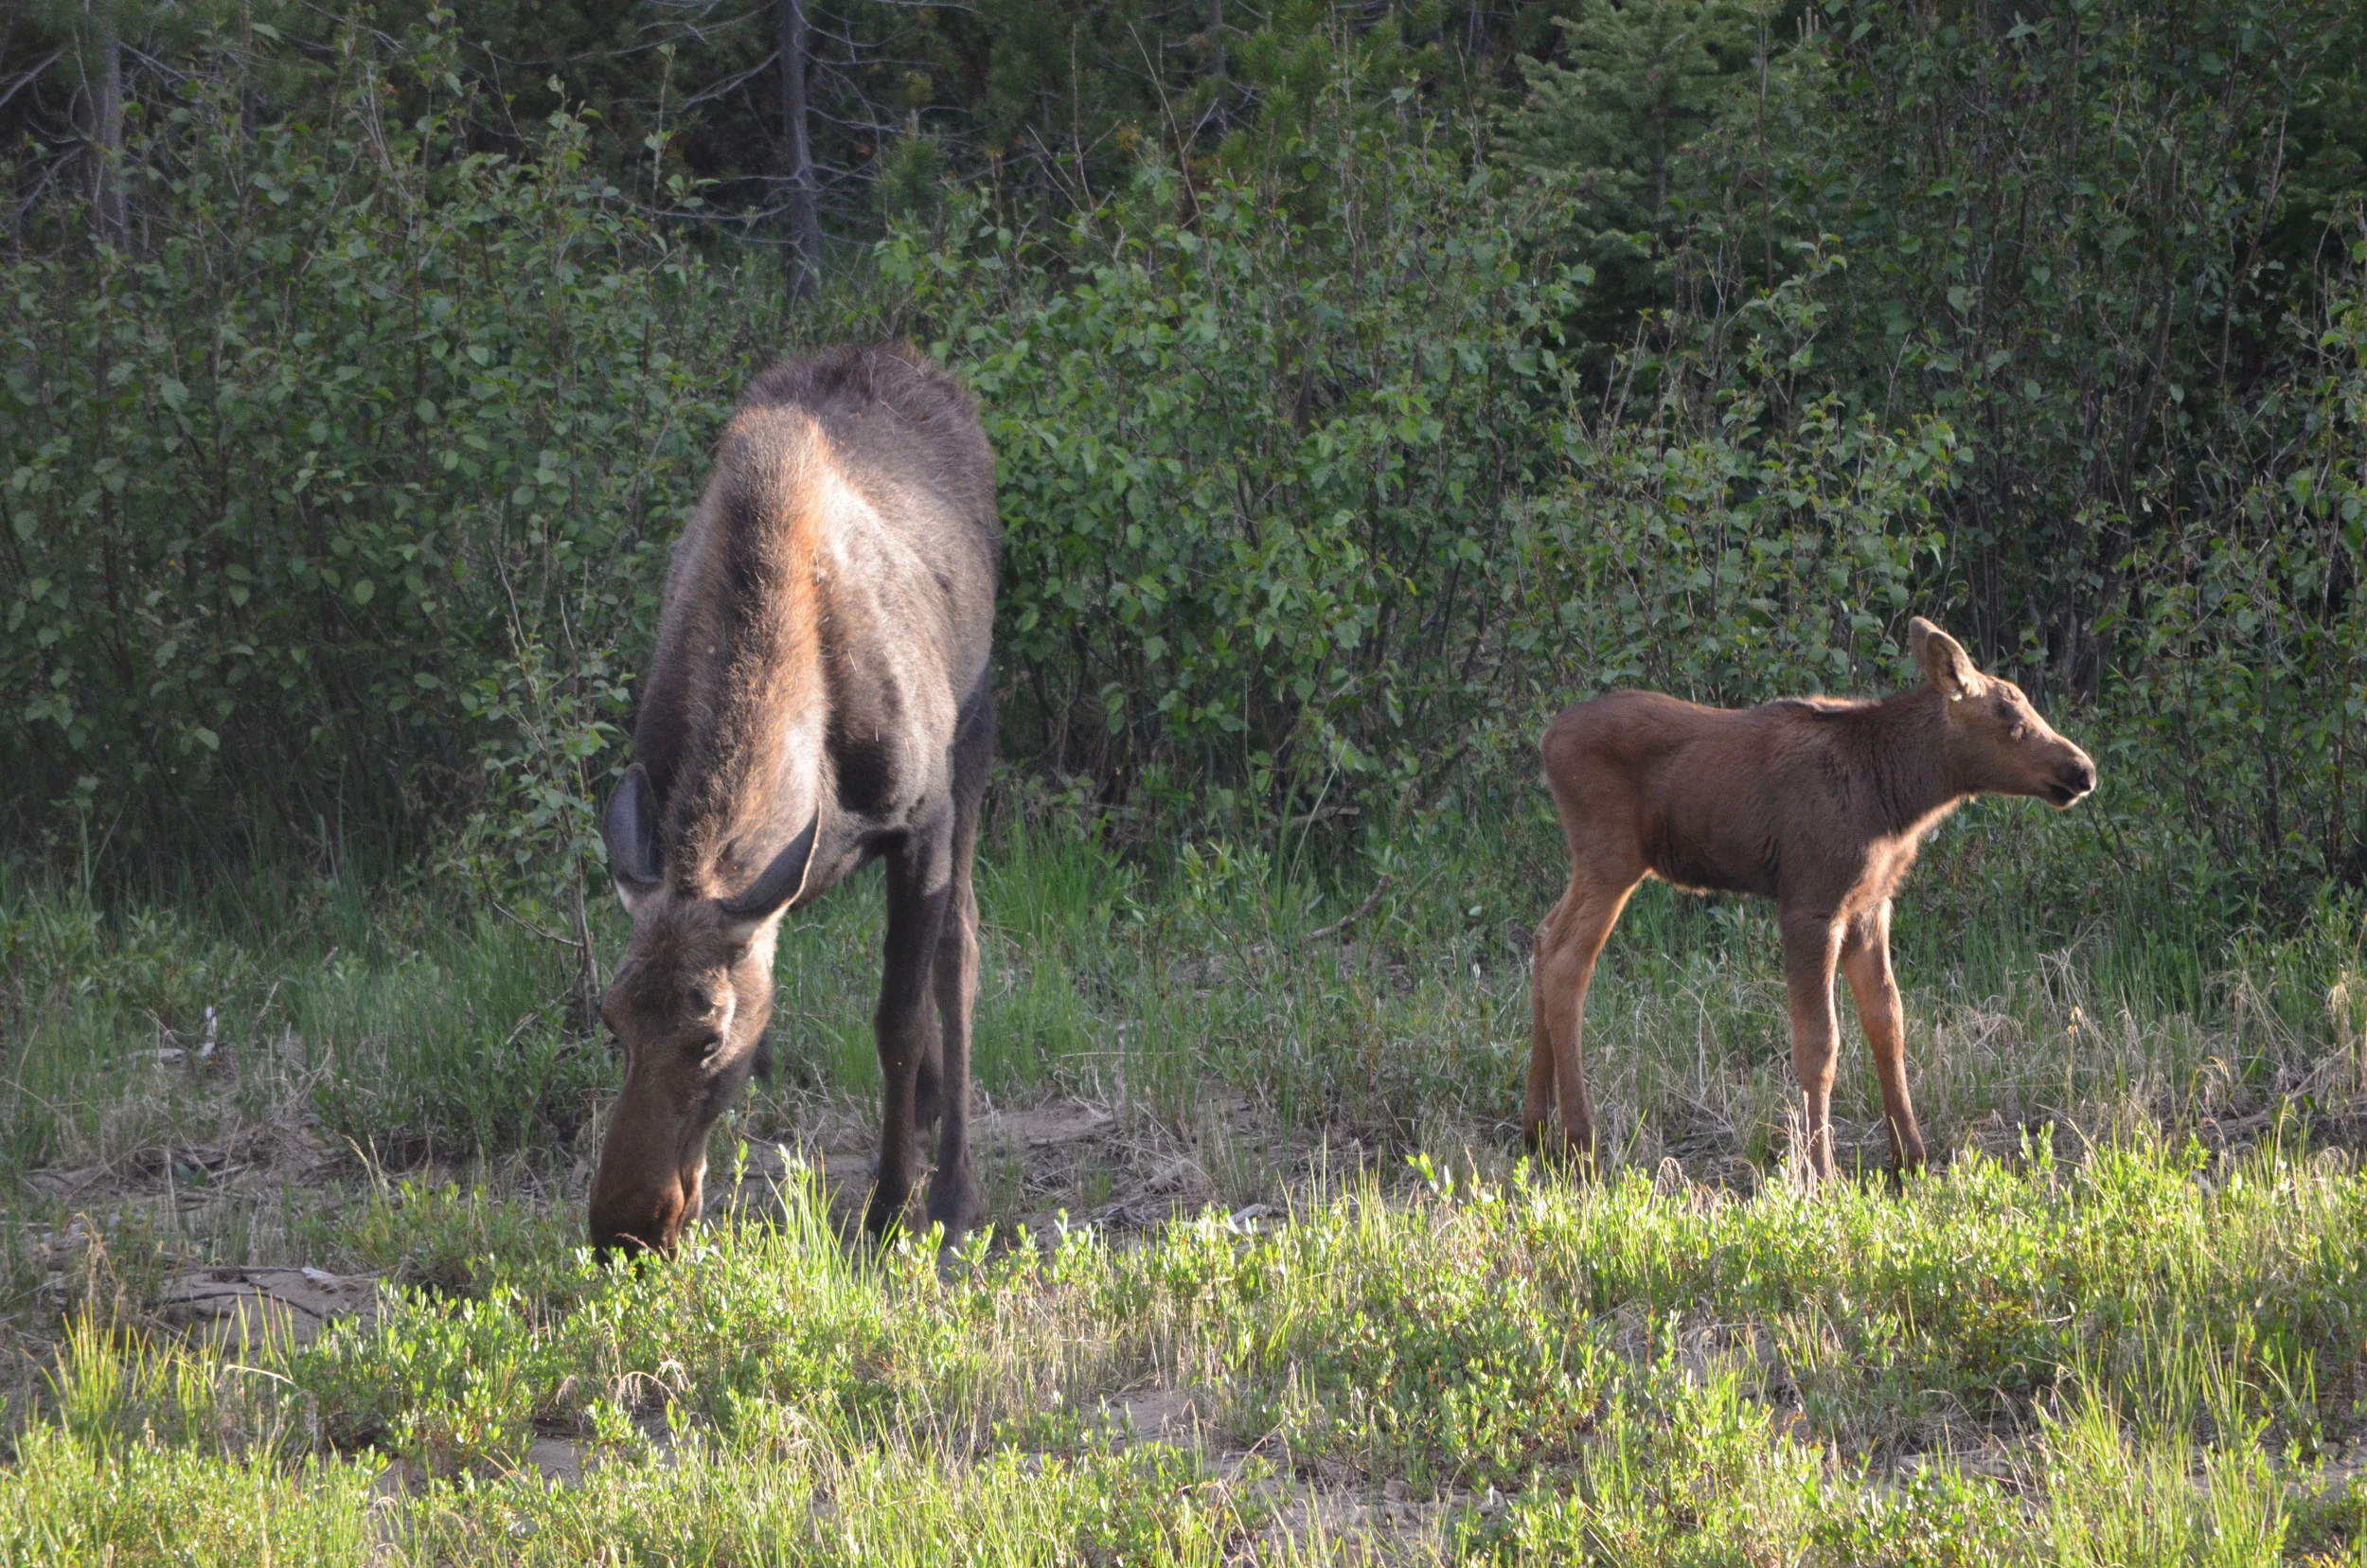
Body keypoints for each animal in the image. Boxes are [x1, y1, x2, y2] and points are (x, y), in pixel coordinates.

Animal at [590, 342, 999, 1255]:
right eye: (609, 1020)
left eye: (709, 1033)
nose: (623, 1230)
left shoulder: (924, 820)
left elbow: (897, 1016)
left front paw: (894, 1205)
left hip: (975, 743)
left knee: (958, 952)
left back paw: (952, 1185)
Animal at [1525, 618, 2097, 1182]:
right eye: (2012, 721)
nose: (2083, 771)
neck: (1899, 797)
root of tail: (1546, 740)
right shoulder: (1811, 902)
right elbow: (1820, 1042)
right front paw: (1821, 1174)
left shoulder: (1871, 904)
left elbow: (1888, 1022)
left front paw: (1911, 1159)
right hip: (1612, 858)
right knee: (1567, 961)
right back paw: (1580, 1143)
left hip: (1596, 864)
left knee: (1542, 935)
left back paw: (1537, 1130)